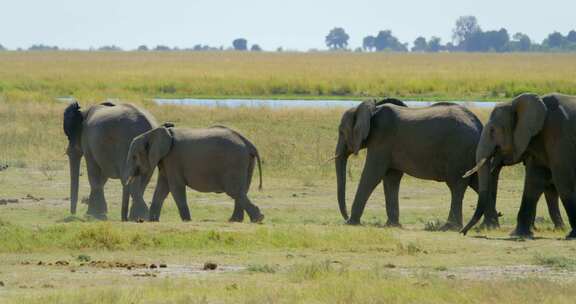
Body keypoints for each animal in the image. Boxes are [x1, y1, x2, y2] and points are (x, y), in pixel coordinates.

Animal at [125, 122, 264, 222]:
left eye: (134, 157)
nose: (139, 220)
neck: (151, 133)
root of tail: (248, 143)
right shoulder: (165, 161)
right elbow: (162, 188)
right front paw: (153, 221)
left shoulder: (173, 159)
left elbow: (175, 187)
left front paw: (187, 220)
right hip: (246, 162)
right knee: (242, 190)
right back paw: (236, 220)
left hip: (234, 162)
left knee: (234, 190)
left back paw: (257, 219)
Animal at [336, 98, 484, 229]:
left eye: (341, 131)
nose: (346, 217)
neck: (372, 110)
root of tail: (479, 126)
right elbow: (391, 178)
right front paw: (392, 225)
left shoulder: (381, 140)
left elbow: (372, 175)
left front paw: (351, 223)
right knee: (477, 184)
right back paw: (483, 226)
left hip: (459, 151)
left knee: (456, 186)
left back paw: (449, 227)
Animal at [460, 92, 576, 238]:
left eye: (492, 130)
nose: (462, 232)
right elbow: (534, 181)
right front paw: (519, 234)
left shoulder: (559, 134)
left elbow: (563, 180)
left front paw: (572, 235)